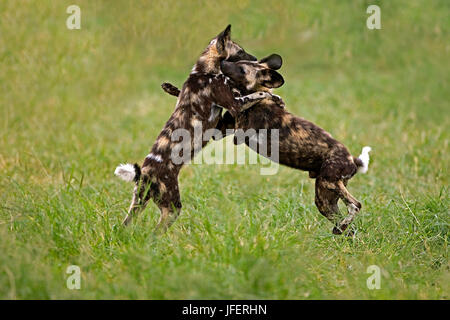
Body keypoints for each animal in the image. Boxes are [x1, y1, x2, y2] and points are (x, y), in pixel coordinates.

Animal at [113, 24, 278, 230]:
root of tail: (145, 174)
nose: (256, 59)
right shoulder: (235, 105)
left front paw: (170, 88)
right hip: (172, 208)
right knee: (155, 231)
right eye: (240, 52)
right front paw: (273, 96)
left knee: (124, 226)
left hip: (138, 203)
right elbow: (260, 94)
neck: (204, 72)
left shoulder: (218, 126)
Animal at [162, 54, 372, 235]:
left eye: (241, 69)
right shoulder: (221, 130)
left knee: (356, 205)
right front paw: (171, 88)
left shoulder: (237, 133)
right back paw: (342, 234)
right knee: (348, 226)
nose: (222, 63)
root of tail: (352, 159)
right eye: (239, 62)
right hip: (324, 198)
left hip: (329, 182)